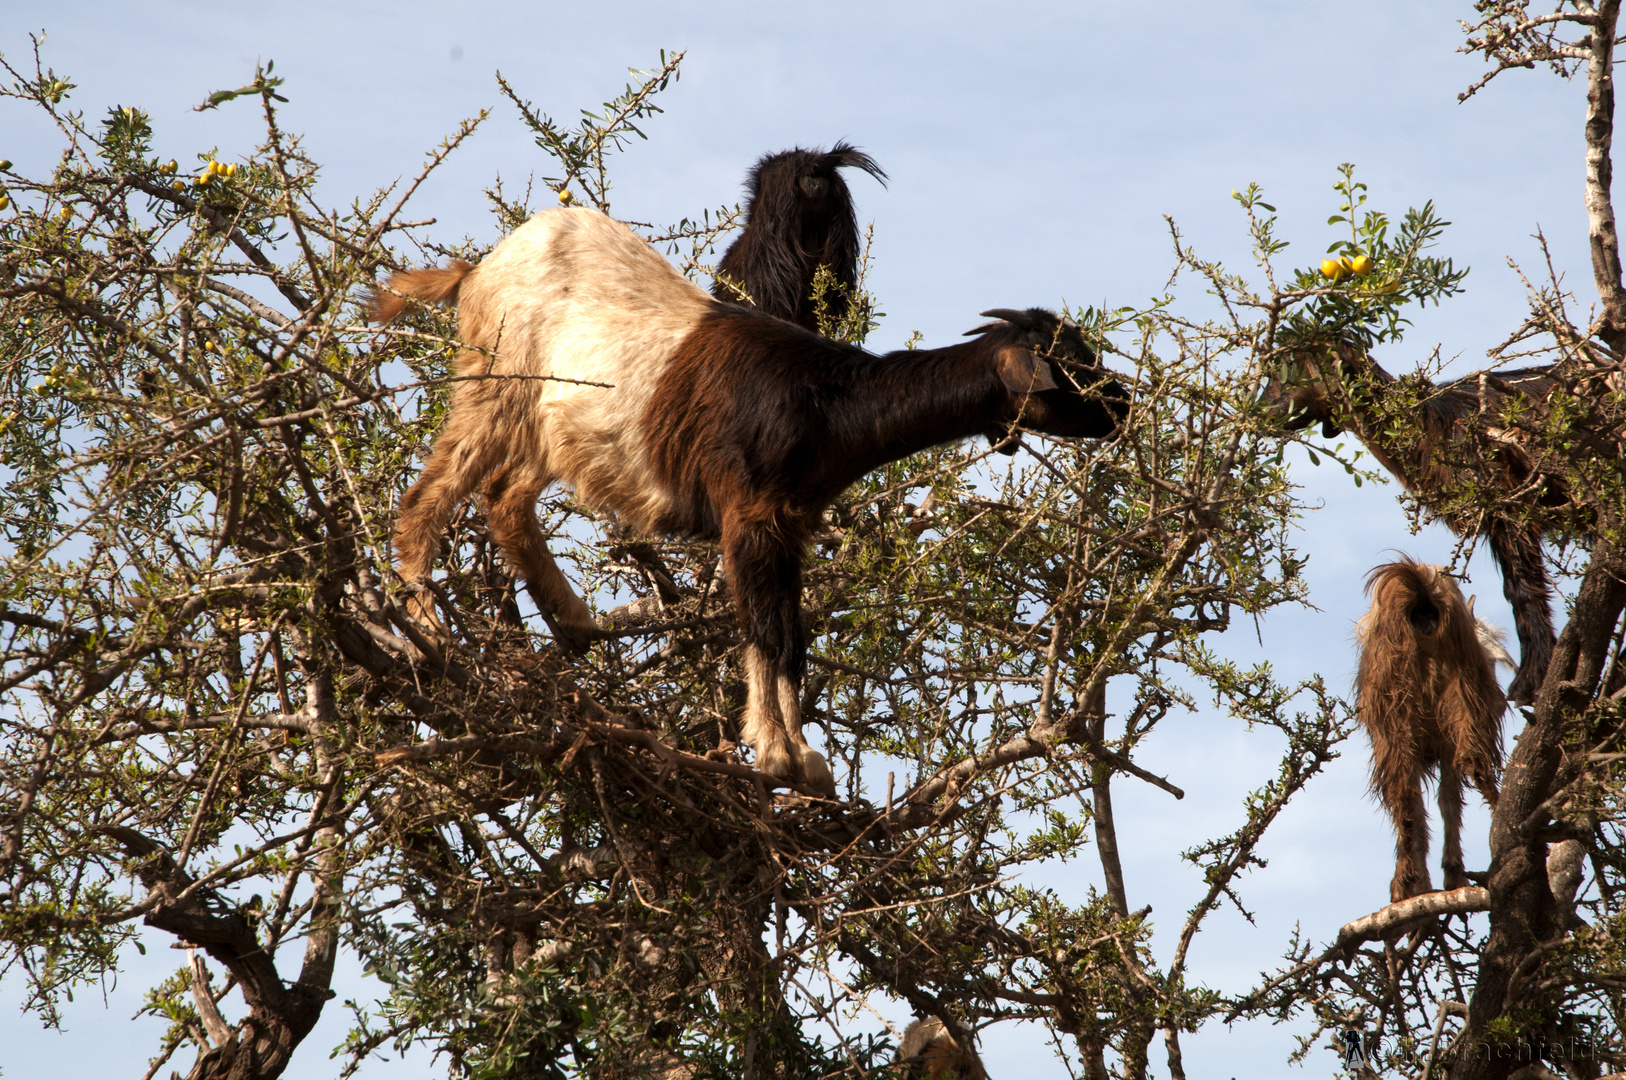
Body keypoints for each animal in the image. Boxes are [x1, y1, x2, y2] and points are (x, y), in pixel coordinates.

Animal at [372, 204, 1125, 793]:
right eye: (1071, 365)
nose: (1120, 408)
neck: (826, 402)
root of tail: (478, 270)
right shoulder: (750, 516)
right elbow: (766, 633)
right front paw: (780, 756)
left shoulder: (790, 526)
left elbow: (793, 639)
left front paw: (804, 759)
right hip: (497, 383)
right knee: (429, 495)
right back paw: (429, 632)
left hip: (547, 426)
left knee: (505, 498)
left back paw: (574, 621)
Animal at [1255, 341, 1560, 705]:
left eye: (1290, 368)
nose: (1259, 411)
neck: (1430, 424)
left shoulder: (1508, 504)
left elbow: (1522, 588)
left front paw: (1531, 681)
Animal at [1352, 556, 1502, 904]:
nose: (1425, 622)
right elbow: (1447, 798)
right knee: (1445, 784)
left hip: (1400, 711)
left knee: (1408, 794)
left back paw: (1411, 882)